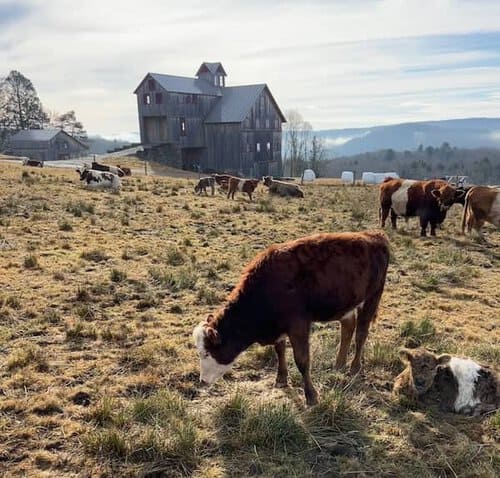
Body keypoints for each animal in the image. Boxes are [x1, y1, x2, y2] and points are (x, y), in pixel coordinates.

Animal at [193, 230, 392, 406]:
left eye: (207, 353)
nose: (202, 381)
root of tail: (375, 236)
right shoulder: (279, 328)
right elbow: (280, 350)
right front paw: (281, 379)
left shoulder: (298, 326)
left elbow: (302, 360)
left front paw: (311, 396)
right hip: (346, 305)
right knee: (348, 328)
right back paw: (339, 364)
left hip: (373, 297)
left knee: (361, 333)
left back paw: (354, 367)